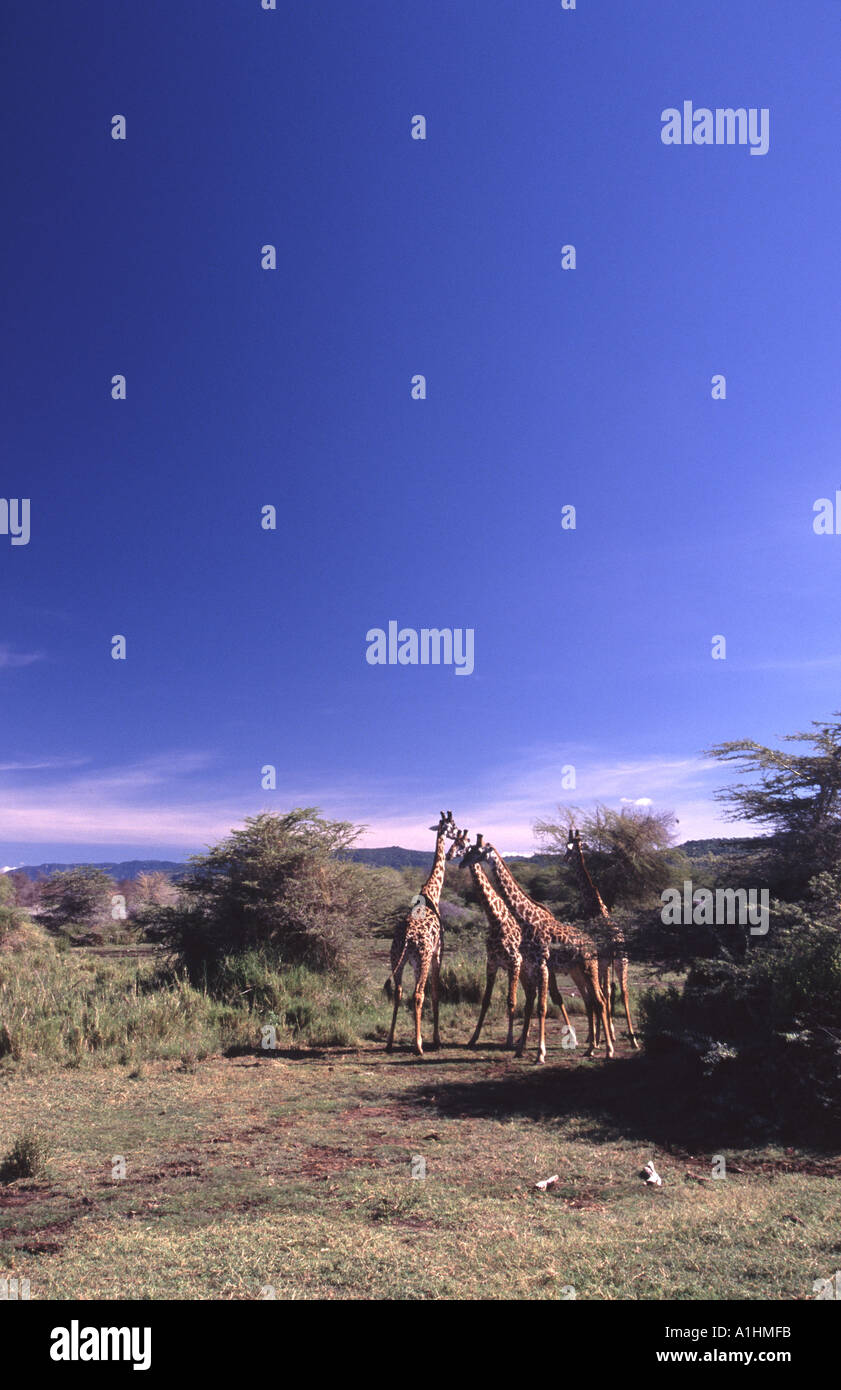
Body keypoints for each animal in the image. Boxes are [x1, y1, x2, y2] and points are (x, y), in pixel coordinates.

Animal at [385, 810, 455, 1056]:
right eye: (453, 825)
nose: (459, 834)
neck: (431, 893)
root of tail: (407, 938)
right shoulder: (437, 953)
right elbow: (435, 992)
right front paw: (436, 1039)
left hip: (397, 959)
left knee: (398, 992)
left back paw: (389, 1042)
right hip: (421, 960)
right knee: (418, 994)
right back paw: (419, 1045)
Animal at [483, 838, 614, 1060]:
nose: (564, 858)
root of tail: (592, 943)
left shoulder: (541, 966)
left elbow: (542, 1006)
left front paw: (539, 1053)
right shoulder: (531, 967)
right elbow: (531, 1004)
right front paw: (522, 1048)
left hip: (595, 967)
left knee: (602, 1000)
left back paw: (607, 1048)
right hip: (580, 970)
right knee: (594, 1000)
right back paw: (592, 1046)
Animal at [565, 828, 639, 1049]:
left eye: (569, 848)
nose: (564, 858)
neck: (595, 905)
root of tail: (616, 941)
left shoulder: (598, 962)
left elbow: (601, 994)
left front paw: (597, 1037)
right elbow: (608, 992)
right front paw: (608, 1035)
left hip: (606, 962)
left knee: (605, 993)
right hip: (622, 961)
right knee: (623, 991)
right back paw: (633, 1039)